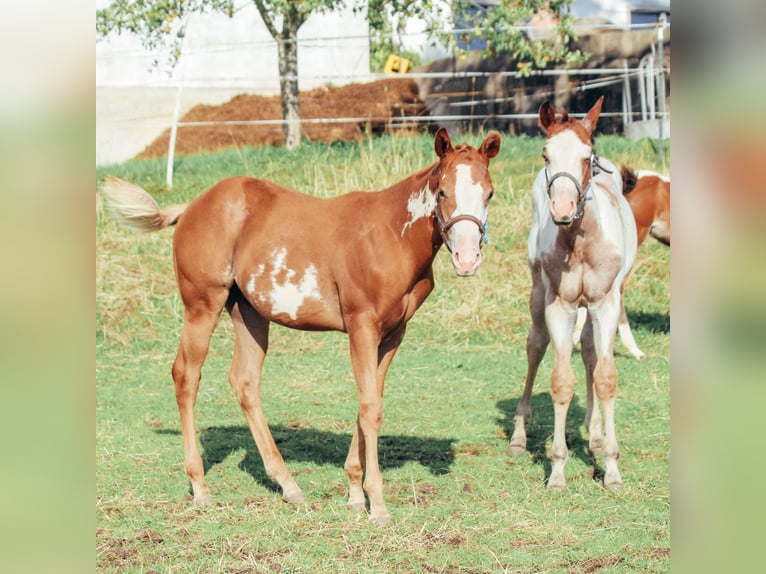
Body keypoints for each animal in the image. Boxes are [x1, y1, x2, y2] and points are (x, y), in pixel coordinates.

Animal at [105, 129, 508, 528]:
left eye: (489, 193)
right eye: (442, 192)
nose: (467, 259)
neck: (391, 235)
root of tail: (191, 207)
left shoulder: (393, 334)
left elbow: (370, 400)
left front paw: (355, 494)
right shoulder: (362, 327)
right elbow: (370, 407)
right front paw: (376, 504)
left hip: (249, 312)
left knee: (245, 382)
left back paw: (288, 486)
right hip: (202, 305)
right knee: (186, 376)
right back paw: (201, 487)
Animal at [512, 97, 640, 492]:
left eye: (587, 156)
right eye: (545, 154)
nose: (563, 210)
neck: (581, 241)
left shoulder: (606, 304)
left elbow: (605, 377)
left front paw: (611, 467)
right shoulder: (561, 306)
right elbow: (560, 381)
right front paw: (556, 469)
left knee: (588, 352)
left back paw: (594, 433)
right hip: (538, 292)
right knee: (536, 345)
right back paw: (518, 435)